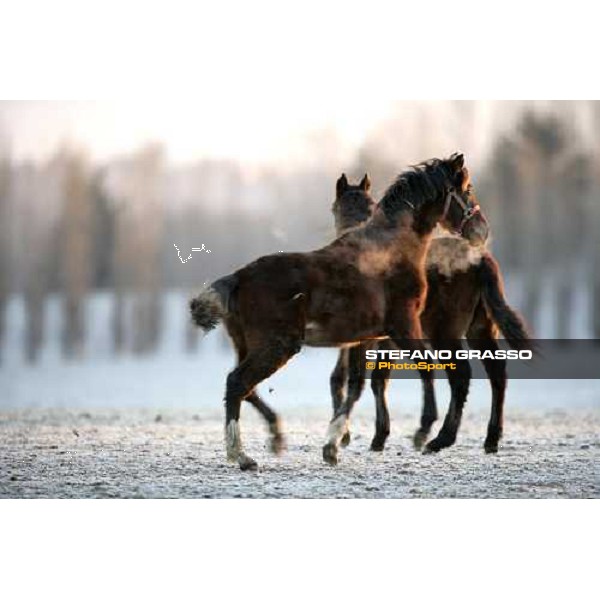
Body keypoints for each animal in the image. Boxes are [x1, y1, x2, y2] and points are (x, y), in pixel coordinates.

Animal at [190, 154, 490, 468]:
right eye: (468, 189)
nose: (482, 231)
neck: (393, 250)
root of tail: (238, 278)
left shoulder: (362, 338)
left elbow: (356, 385)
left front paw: (332, 445)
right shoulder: (403, 324)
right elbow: (425, 366)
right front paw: (422, 430)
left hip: (248, 345)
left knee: (244, 387)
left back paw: (267, 439)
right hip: (277, 345)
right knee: (237, 383)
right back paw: (243, 454)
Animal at [330, 176, 532, 458]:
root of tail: (480, 258)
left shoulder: (372, 338)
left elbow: (360, 379)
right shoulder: (385, 339)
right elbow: (373, 379)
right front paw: (376, 436)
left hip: (445, 333)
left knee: (461, 376)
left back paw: (440, 438)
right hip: (480, 329)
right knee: (497, 372)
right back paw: (491, 438)